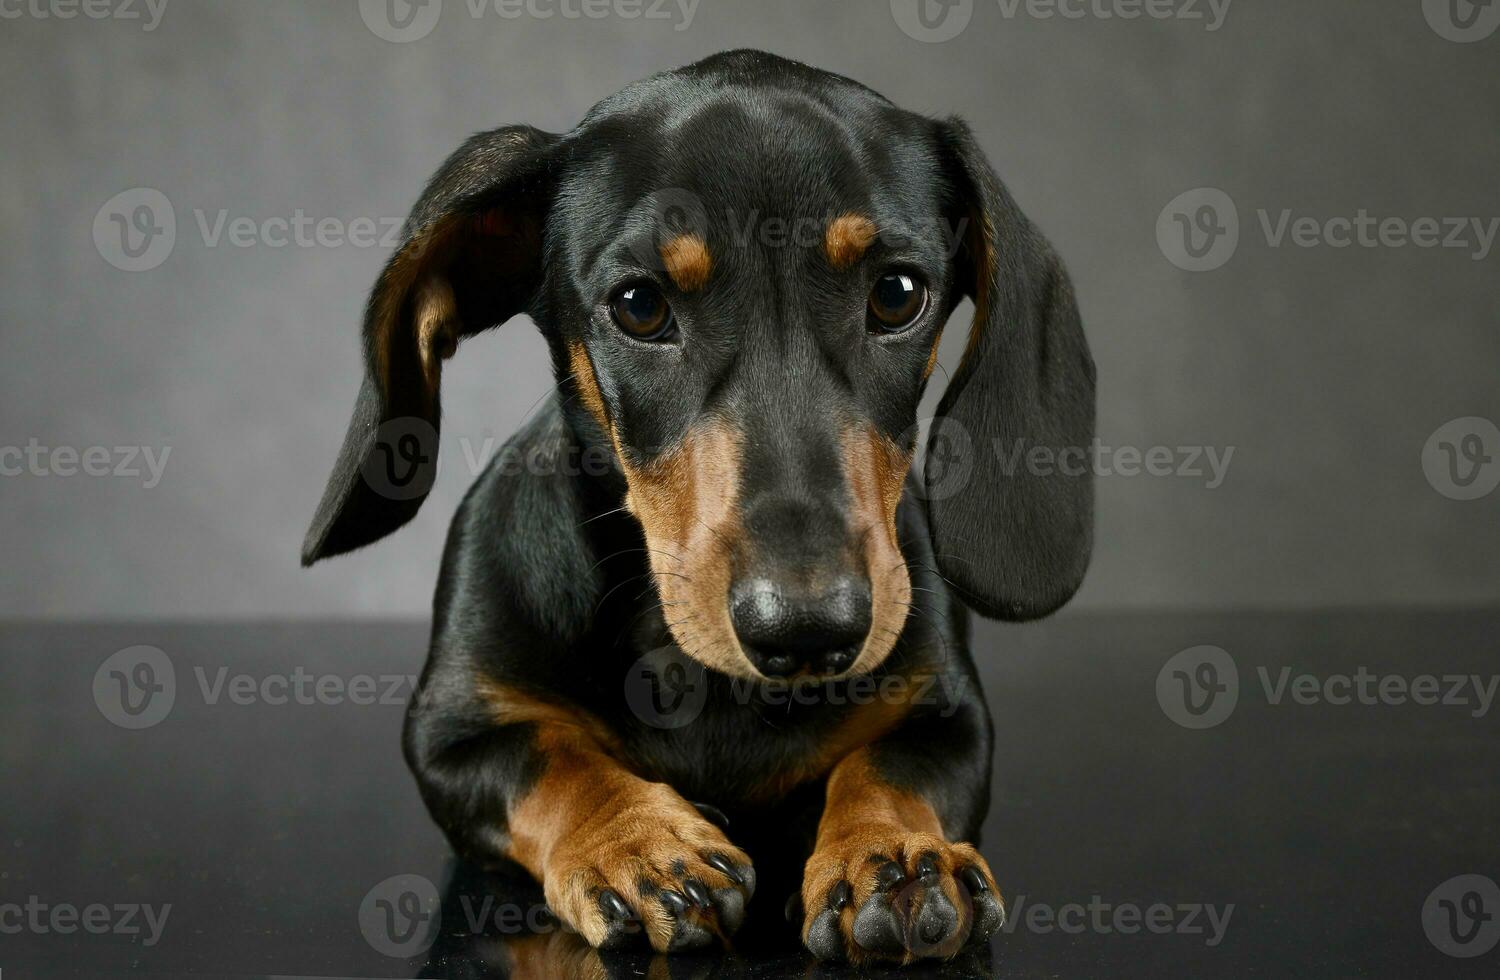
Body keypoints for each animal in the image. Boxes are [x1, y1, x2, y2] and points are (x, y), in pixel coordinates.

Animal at [301, 49, 1092, 960]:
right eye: (640, 306)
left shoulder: (949, 714)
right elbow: (551, 760)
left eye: (898, 293)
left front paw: (894, 853)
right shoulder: (452, 731)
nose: (807, 630)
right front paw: (639, 843)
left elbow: (889, 767)